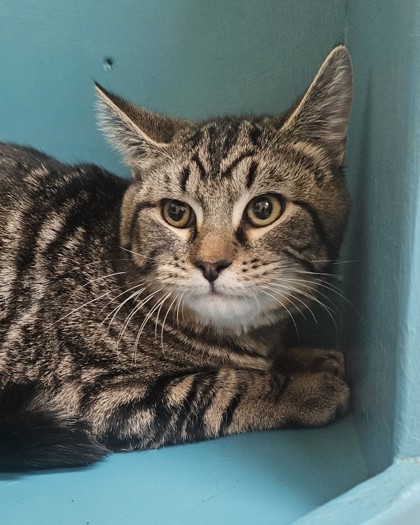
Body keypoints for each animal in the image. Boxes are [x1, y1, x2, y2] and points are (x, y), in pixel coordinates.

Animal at [0, 47, 352, 468]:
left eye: (264, 209)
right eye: (177, 213)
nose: (211, 264)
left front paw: (302, 358)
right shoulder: (86, 395)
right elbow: (217, 387)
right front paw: (304, 387)